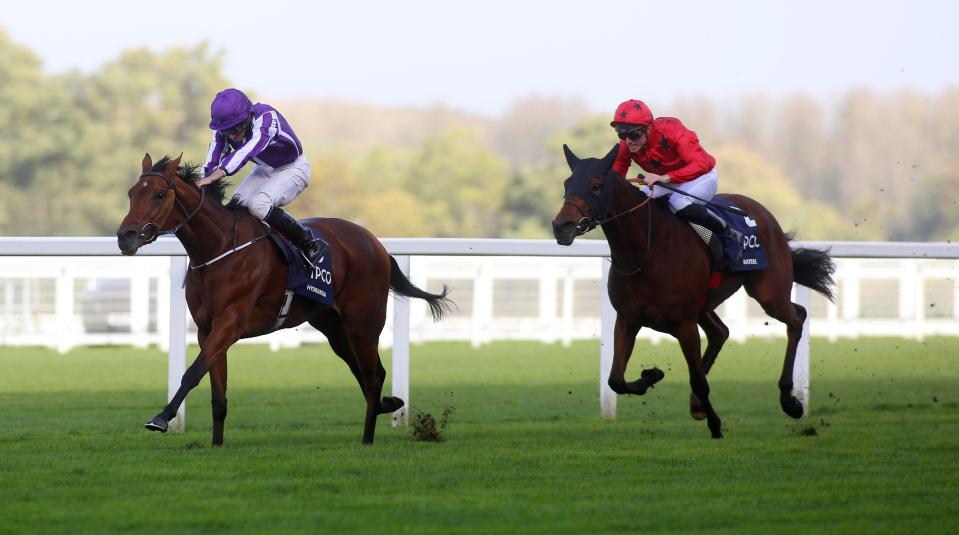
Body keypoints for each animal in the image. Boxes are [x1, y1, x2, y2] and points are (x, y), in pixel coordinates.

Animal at [117, 153, 454, 446]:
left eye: (160, 194)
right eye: (132, 193)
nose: (125, 237)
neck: (220, 248)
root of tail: (378, 245)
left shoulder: (230, 323)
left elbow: (191, 373)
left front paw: (161, 418)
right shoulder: (206, 328)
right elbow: (217, 392)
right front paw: (216, 445)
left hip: (363, 325)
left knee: (372, 377)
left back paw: (368, 438)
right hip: (334, 328)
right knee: (366, 373)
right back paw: (386, 407)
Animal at [552, 144, 836, 438]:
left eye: (596, 185)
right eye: (567, 183)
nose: (562, 227)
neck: (647, 250)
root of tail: (765, 215)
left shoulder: (684, 324)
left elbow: (698, 379)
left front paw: (715, 425)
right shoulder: (628, 318)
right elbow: (615, 379)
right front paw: (651, 376)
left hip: (769, 293)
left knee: (796, 317)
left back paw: (790, 401)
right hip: (706, 303)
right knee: (721, 332)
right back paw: (698, 404)